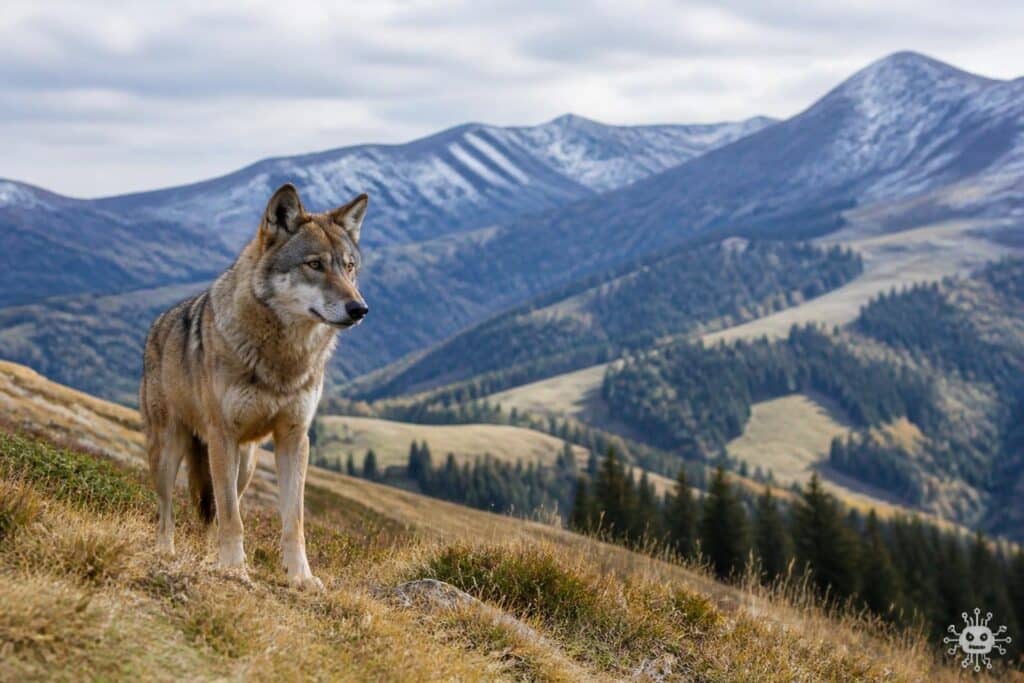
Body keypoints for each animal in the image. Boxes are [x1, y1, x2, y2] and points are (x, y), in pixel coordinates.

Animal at [140, 183, 369, 590]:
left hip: (244, 465)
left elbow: (293, 522)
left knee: (211, 515)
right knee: (167, 510)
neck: (283, 358)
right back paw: (167, 553)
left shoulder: (294, 439)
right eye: (315, 264)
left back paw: (206, 558)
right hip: (170, 451)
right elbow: (234, 519)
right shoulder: (223, 436)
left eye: (349, 266)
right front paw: (234, 569)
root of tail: (158, 324)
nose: (359, 309)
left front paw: (301, 577)